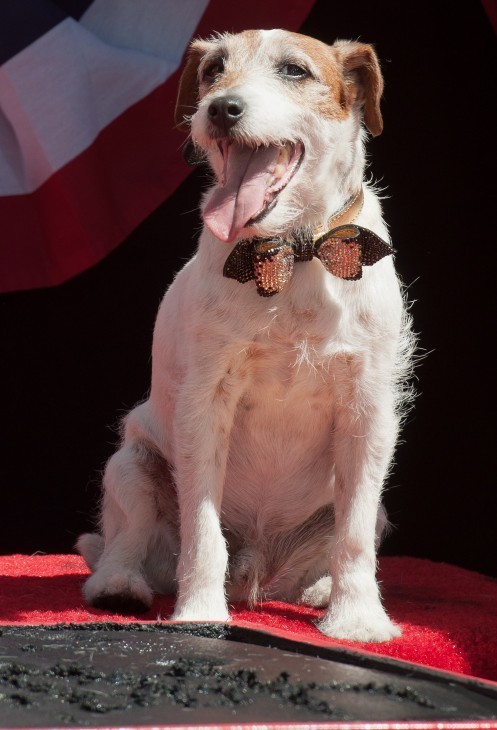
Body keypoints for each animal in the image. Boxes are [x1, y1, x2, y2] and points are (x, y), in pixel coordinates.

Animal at [75, 28, 412, 640]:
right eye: (213, 70)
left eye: (295, 71)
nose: (220, 108)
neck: (291, 254)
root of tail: (257, 576)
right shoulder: (205, 403)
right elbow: (202, 529)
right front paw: (199, 612)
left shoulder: (368, 409)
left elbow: (352, 538)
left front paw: (356, 620)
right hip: (132, 466)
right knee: (126, 541)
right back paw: (120, 585)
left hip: (364, 508)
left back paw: (318, 590)